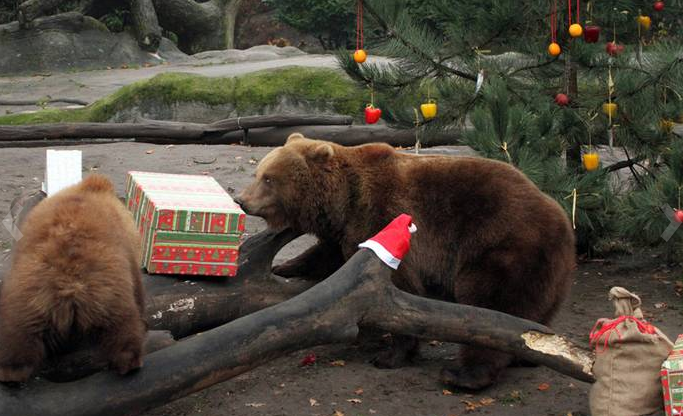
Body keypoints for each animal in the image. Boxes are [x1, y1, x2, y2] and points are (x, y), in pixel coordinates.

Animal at [0, 174, 146, 382]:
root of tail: (68, 283)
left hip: (27, 299)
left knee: (17, 336)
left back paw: (12, 372)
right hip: (108, 291)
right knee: (123, 327)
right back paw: (130, 362)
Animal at [236, 134, 576, 390]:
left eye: (269, 179)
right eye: (259, 174)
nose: (242, 199)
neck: (343, 200)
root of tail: (563, 222)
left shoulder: (384, 219)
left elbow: (397, 289)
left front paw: (389, 355)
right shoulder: (345, 230)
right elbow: (328, 254)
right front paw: (284, 266)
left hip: (502, 247)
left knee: (492, 307)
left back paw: (463, 375)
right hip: (548, 271)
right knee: (533, 313)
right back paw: (525, 356)